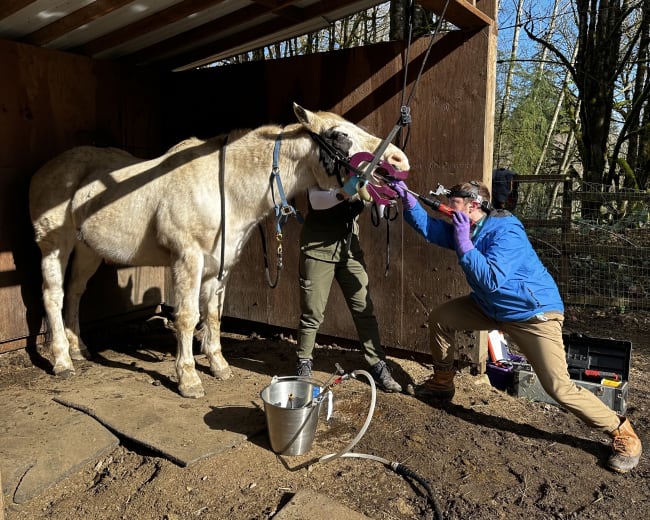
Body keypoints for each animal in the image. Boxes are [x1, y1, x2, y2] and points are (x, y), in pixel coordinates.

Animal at [30, 102, 408, 398]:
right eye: (338, 134)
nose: (398, 161)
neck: (222, 186)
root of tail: (44, 170)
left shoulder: (219, 264)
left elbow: (212, 313)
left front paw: (218, 365)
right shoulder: (188, 259)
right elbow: (186, 316)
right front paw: (188, 379)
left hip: (88, 250)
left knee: (74, 292)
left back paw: (79, 349)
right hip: (55, 245)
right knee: (53, 295)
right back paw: (62, 360)